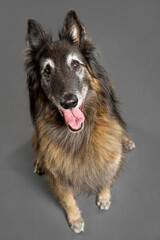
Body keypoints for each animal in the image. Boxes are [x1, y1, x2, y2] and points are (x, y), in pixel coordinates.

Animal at [24, 9, 135, 232]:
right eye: (47, 71)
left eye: (75, 64)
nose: (69, 102)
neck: (79, 135)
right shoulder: (58, 173)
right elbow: (67, 197)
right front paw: (75, 219)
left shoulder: (111, 155)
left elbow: (108, 175)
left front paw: (104, 196)